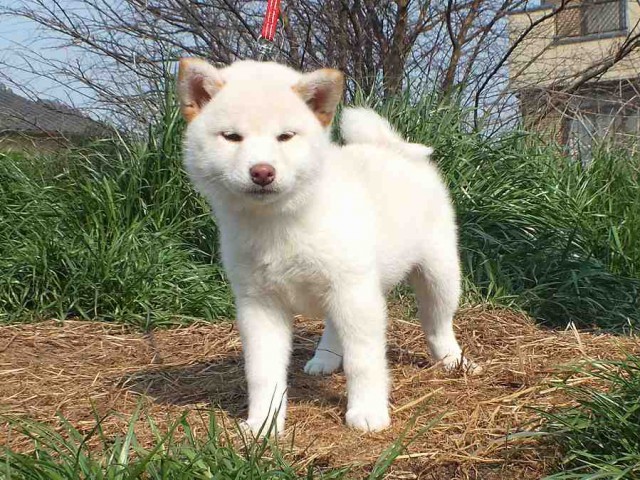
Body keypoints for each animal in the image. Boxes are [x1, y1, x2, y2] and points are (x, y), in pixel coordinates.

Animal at [176, 59, 476, 436]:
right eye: (231, 137)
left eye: (285, 136)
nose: (262, 172)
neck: (281, 222)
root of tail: (390, 147)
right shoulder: (260, 305)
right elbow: (262, 373)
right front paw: (263, 422)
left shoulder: (354, 292)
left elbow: (364, 361)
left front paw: (367, 411)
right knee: (336, 326)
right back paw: (325, 358)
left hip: (437, 273)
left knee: (438, 322)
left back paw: (453, 359)